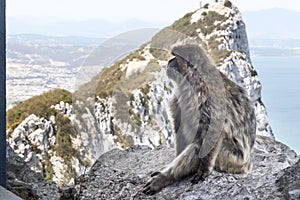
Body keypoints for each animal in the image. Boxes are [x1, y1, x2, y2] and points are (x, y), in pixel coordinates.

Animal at [143, 44, 255, 195]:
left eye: (176, 56)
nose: (170, 61)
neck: (192, 81)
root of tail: (248, 164)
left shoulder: (208, 98)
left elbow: (213, 131)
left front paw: (204, 169)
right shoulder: (177, 100)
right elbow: (179, 127)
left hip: (232, 159)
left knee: (199, 146)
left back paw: (165, 177)